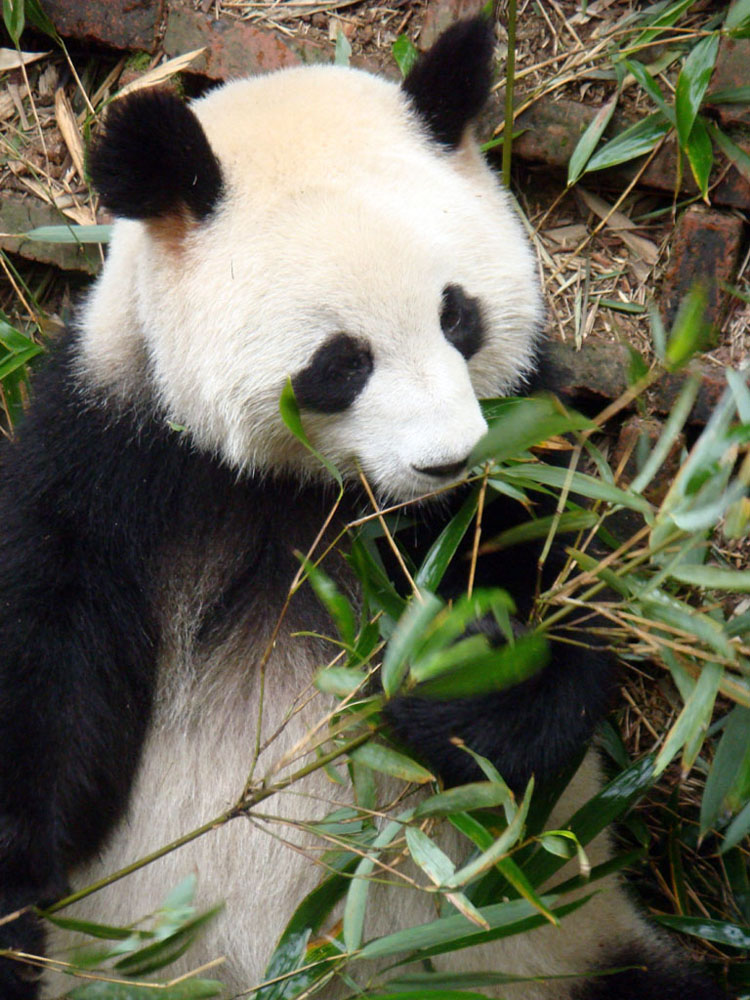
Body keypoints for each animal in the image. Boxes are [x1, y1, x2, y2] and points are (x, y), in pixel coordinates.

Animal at [0, 17, 729, 1000]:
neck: (312, 491)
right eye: (342, 362)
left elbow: (566, 594)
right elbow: (46, 665)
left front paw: (458, 670)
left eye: (458, 316)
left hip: (566, 952)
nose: (447, 461)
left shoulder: (523, 441)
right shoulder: (111, 454)